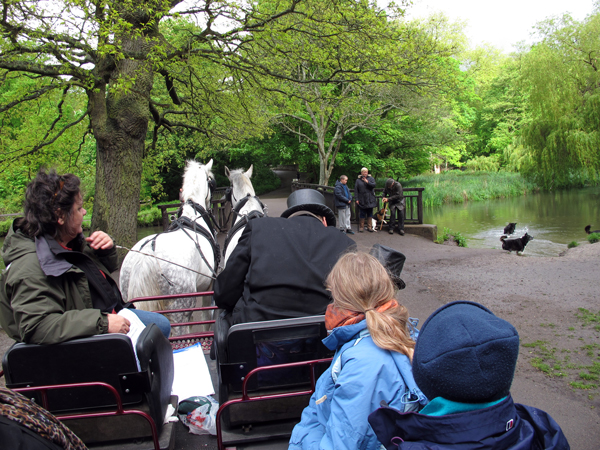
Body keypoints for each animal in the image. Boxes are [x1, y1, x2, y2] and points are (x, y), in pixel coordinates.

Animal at [119, 160, 218, 336]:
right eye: (211, 181)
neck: (193, 216)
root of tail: (145, 258)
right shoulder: (208, 285)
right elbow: (206, 316)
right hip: (179, 309)